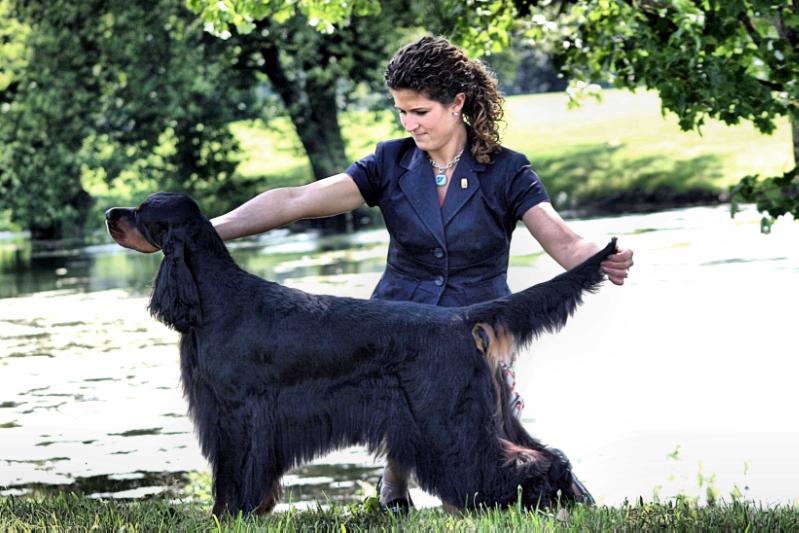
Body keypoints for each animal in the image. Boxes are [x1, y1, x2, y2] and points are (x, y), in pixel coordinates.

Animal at [106, 192, 616, 516]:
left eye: (142, 210)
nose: (111, 212)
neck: (215, 299)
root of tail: (461, 318)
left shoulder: (238, 412)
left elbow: (239, 469)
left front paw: (237, 513)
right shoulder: (220, 412)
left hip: (448, 417)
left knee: (509, 460)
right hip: (489, 409)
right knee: (545, 451)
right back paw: (565, 497)